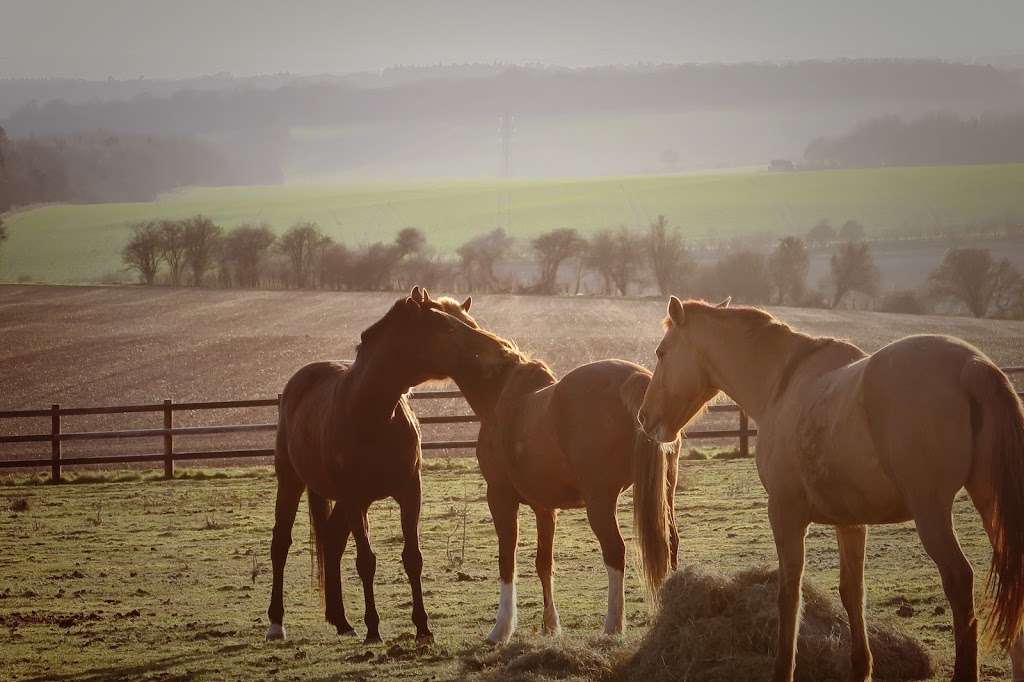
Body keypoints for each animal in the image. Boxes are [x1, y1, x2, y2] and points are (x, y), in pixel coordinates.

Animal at [264, 286, 503, 643]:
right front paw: (374, 629)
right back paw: (277, 623)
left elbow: (413, 558)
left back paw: (342, 621)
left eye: (469, 323)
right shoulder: (355, 498)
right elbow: (366, 561)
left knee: (331, 541)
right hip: (291, 481)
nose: (490, 351)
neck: (373, 411)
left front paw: (422, 627)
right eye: (445, 327)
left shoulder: (409, 491)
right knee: (281, 543)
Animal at [385, 288, 679, 638]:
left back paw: (612, 626)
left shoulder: (499, 497)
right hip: (664, 493)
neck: (501, 392)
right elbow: (543, 563)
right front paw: (550, 625)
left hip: (600, 502)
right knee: (670, 542)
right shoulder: (544, 507)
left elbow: (506, 559)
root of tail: (636, 379)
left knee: (615, 551)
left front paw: (501, 628)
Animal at [638, 296, 1024, 679]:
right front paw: (860, 667)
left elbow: (790, 595)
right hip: (990, 503)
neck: (782, 384)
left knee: (959, 580)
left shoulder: (785, 515)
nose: (644, 417)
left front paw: (784, 669)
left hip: (932, 512)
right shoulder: (850, 522)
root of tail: (971, 365)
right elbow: (852, 592)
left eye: (661, 352)